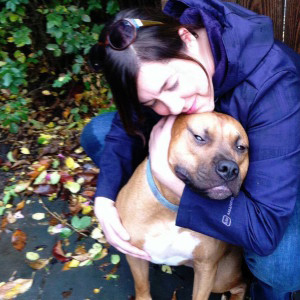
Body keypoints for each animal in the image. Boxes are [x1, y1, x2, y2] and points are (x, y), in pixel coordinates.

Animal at [116, 112, 250, 300]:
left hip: (220, 278)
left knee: (242, 285)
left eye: (241, 147)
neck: (173, 209)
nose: (230, 168)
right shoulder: (134, 255)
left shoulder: (206, 268)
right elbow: (142, 287)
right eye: (199, 137)